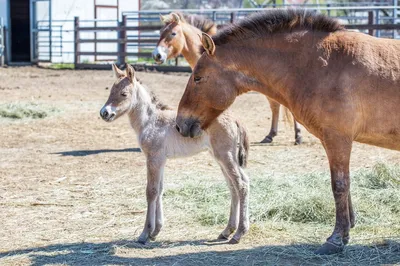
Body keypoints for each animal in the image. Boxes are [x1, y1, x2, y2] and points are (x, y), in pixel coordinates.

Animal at [99, 63, 250, 244]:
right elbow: (159, 189)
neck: (150, 121)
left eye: (123, 94)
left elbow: (151, 191)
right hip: (221, 158)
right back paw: (226, 231)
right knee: (234, 186)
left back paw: (239, 233)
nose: (104, 113)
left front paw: (144, 234)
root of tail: (235, 119)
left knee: (241, 184)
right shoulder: (160, 160)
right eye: (110, 91)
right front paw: (156, 231)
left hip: (225, 156)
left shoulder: (153, 158)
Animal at [177, 9, 400, 256]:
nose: (180, 124)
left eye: (198, 77)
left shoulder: (337, 139)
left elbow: (339, 185)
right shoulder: (337, 141)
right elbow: (346, 184)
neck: (321, 65)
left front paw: (335, 239)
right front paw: (348, 228)